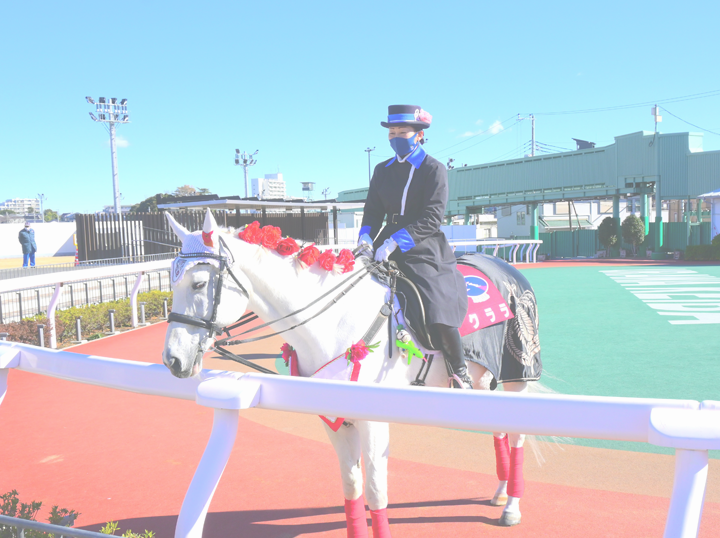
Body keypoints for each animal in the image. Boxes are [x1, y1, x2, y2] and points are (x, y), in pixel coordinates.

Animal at [165, 211, 536, 532]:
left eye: (198, 283)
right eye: (172, 282)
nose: (172, 360)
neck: (334, 320)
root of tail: (504, 265)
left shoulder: (374, 421)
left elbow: (376, 491)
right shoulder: (334, 418)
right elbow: (351, 486)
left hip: (519, 372)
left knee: (518, 435)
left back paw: (512, 506)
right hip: (484, 380)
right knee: (498, 426)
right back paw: (501, 492)